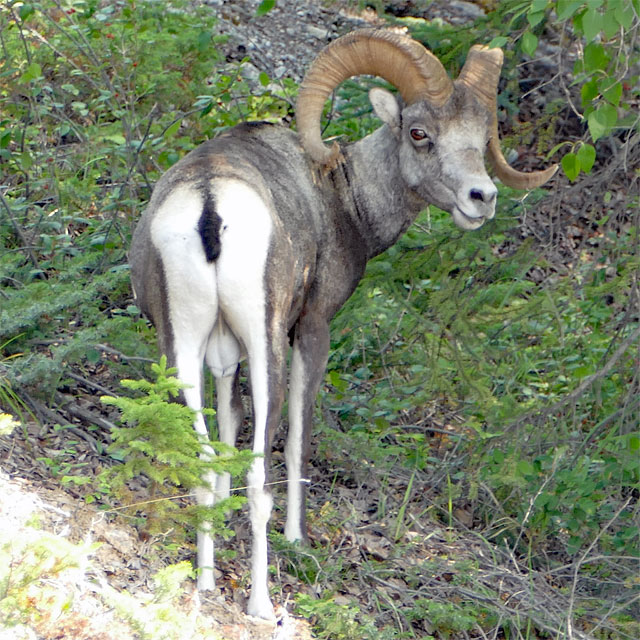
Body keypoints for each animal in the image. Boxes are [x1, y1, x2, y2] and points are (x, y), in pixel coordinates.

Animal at [129, 27, 556, 616]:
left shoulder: (222, 358)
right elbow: (298, 442)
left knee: (201, 463)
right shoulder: (311, 330)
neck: (343, 199)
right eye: (419, 134)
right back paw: (261, 605)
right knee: (260, 475)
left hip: (180, 353)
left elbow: (226, 439)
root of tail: (209, 205)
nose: (482, 198)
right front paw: (297, 541)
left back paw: (206, 586)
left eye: (479, 136)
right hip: (266, 349)